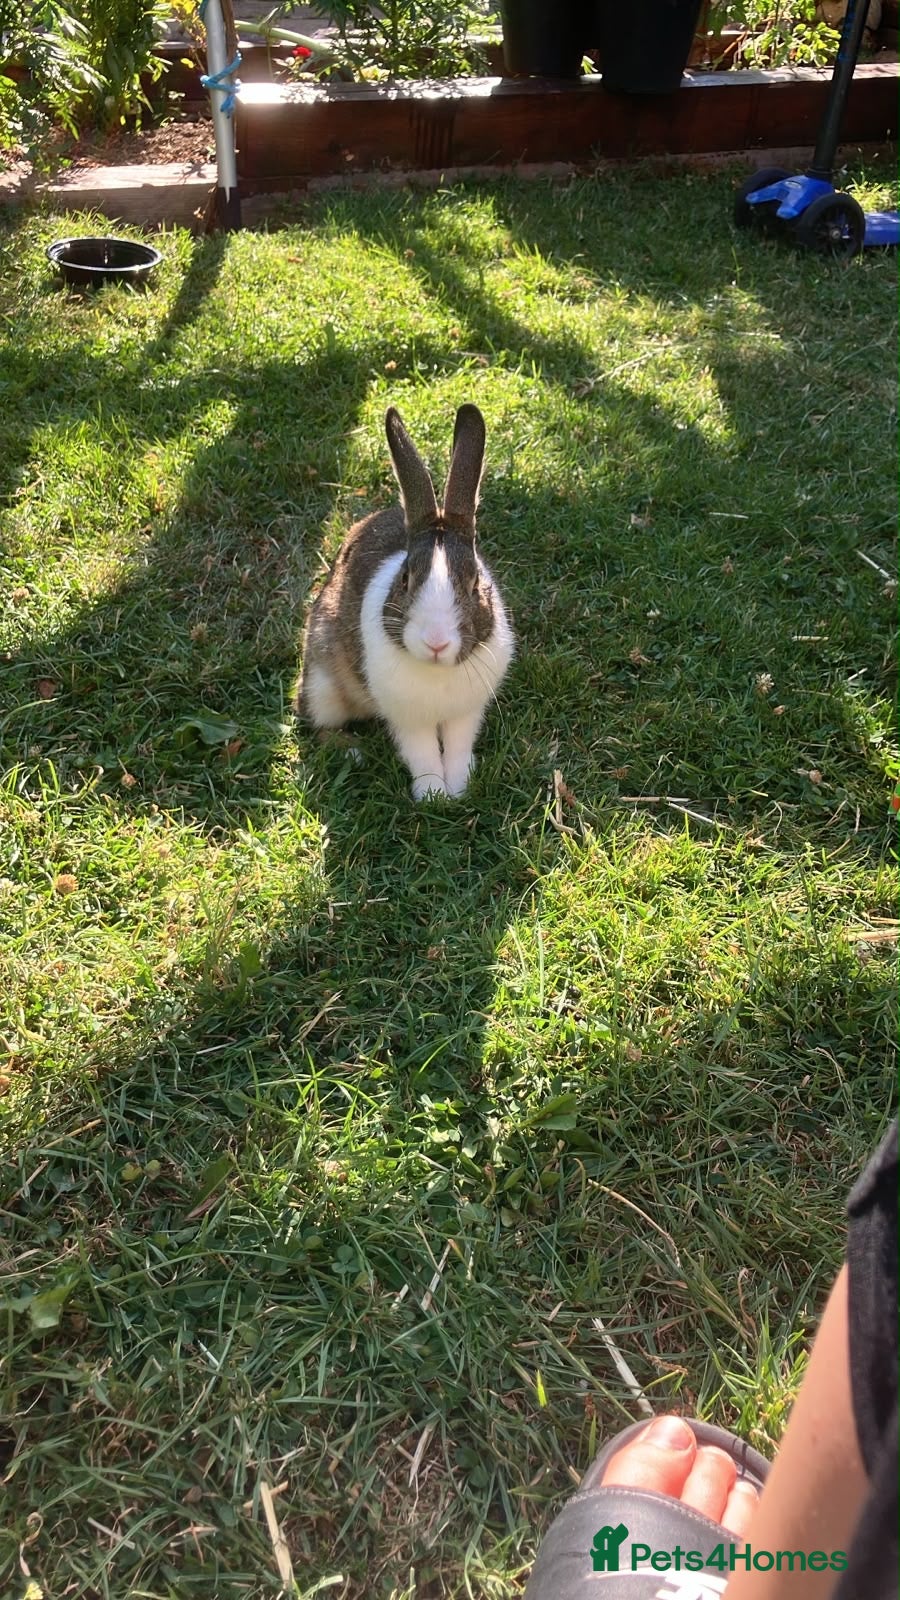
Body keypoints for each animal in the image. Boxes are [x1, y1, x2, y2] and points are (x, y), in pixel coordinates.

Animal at [296, 403, 514, 801]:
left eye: (475, 583)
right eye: (405, 579)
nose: (436, 642)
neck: (437, 672)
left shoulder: (466, 714)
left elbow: (457, 747)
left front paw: (459, 787)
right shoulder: (408, 720)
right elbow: (422, 753)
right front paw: (433, 795)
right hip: (322, 683)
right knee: (316, 723)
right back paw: (352, 752)